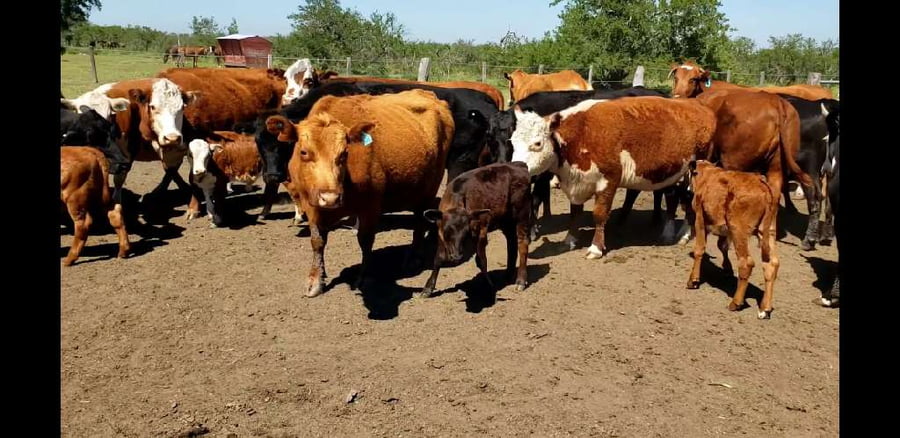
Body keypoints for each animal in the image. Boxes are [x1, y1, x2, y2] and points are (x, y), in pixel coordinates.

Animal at [265, 89, 455, 297]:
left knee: (419, 222)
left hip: (430, 187)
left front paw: (363, 277)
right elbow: (317, 241)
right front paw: (315, 279)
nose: (330, 198)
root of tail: (427, 93)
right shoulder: (311, 206)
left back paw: (413, 257)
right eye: (304, 152)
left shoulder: (370, 207)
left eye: (344, 154)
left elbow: (365, 241)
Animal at [420, 162, 533, 297]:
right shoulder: (440, 235)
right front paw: (428, 288)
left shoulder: (481, 232)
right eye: (447, 231)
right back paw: (508, 274)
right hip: (506, 221)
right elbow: (438, 258)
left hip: (522, 215)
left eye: (466, 233)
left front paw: (488, 286)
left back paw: (520, 280)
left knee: (523, 243)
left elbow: (481, 260)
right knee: (511, 243)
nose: (457, 256)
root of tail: (519, 165)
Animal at [510, 96, 717, 258]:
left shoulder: (608, 180)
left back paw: (685, 235)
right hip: (673, 174)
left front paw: (595, 248)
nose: (516, 170)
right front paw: (570, 240)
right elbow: (575, 213)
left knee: (689, 200)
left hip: (694, 172)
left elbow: (599, 215)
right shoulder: (576, 183)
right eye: (512, 141)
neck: (581, 135)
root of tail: (698, 105)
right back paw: (668, 234)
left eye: (537, 143)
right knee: (673, 198)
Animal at [685, 160, 779, 319]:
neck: (707, 175)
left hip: (738, 230)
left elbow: (699, 249)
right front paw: (727, 269)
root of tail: (762, 184)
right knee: (771, 264)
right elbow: (721, 245)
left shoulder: (699, 219)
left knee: (746, 263)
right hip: (768, 232)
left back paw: (736, 303)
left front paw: (693, 281)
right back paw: (764, 309)